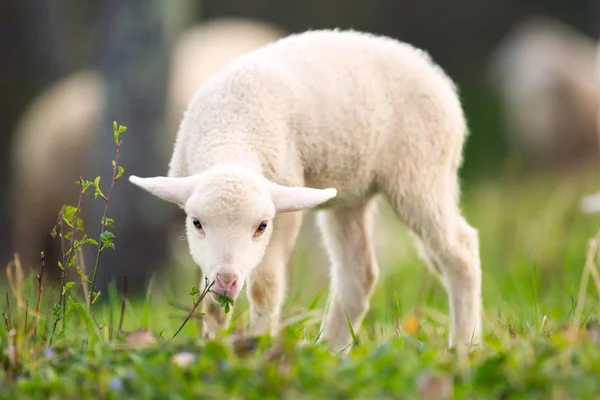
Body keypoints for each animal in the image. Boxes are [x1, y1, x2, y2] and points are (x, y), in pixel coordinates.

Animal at [130, 29, 482, 352]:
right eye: (196, 223)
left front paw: (258, 343)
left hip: (422, 172)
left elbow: (265, 287)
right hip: (351, 191)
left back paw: (464, 345)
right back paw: (331, 349)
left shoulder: (284, 214)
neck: (231, 131)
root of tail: (431, 69)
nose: (228, 280)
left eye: (262, 226)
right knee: (359, 273)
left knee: (460, 251)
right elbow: (211, 302)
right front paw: (213, 342)